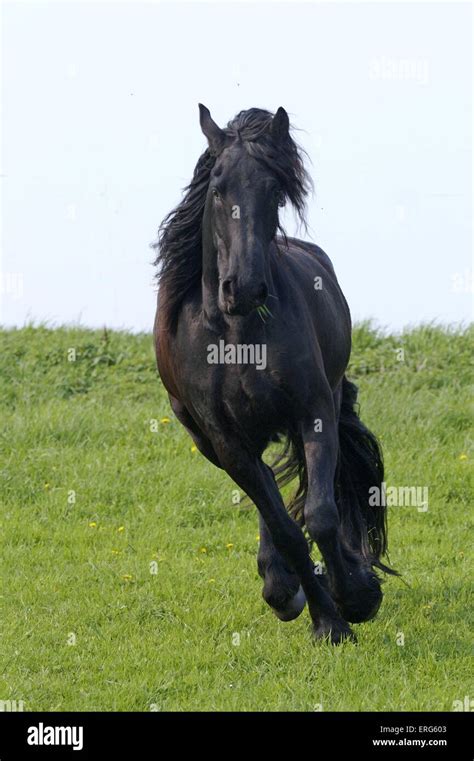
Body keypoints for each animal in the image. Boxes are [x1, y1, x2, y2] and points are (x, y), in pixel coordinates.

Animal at [154, 107, 394, 640]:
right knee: (267, 493)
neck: (238, 332)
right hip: (211, 441)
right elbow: (285, 526)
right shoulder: (226, 439)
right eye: (217, 187)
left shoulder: (314, 411)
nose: (243, 288)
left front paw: (356, 598)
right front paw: (327, 619)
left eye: (274, 191)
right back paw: (282, 588)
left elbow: (320, 515)